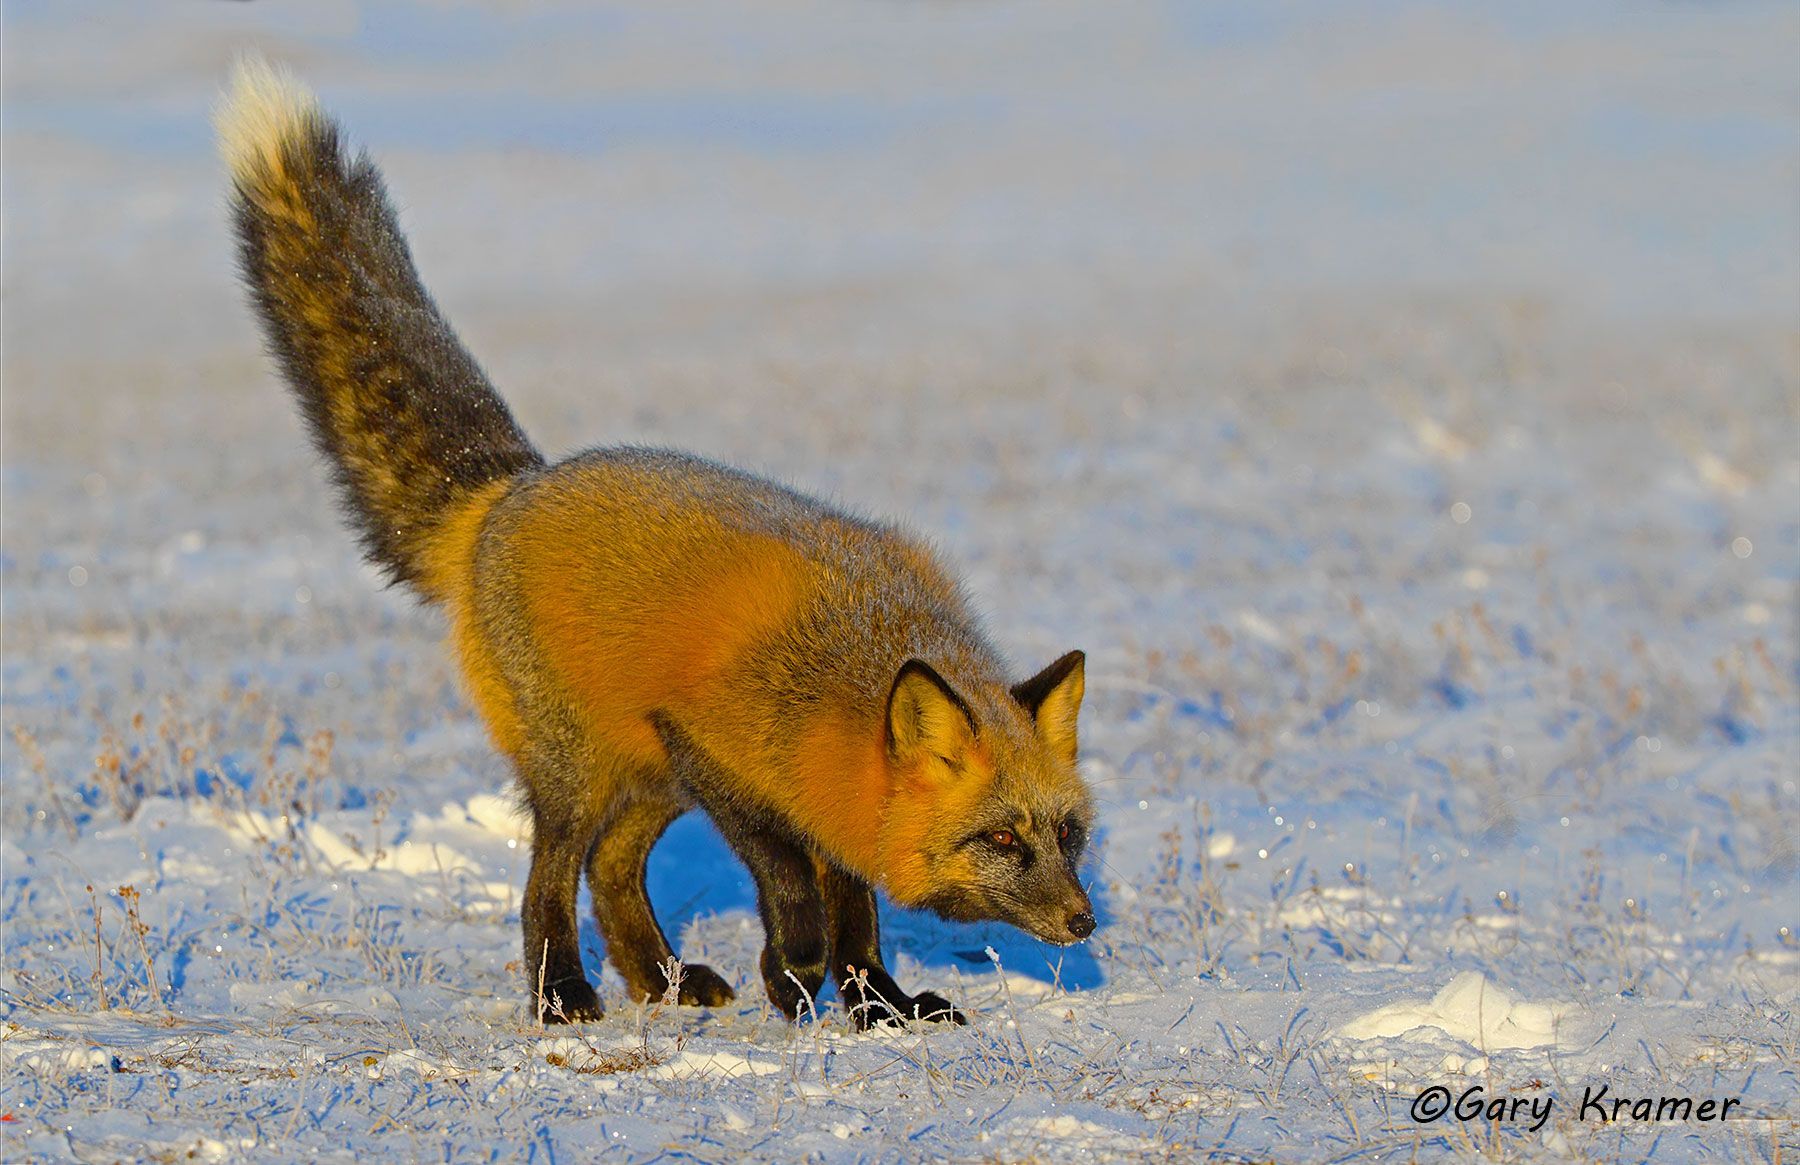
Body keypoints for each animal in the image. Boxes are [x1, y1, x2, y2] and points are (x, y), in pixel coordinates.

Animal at [217, 58, 1096, 1028]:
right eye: (1002, 835)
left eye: (1067, 831)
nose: (1085, 920)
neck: (839, 673)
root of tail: (513, 488)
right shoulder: (714, 752)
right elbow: (793, 884)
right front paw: (794, 972)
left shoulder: (820, 798)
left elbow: (858, 914)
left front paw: (880, 1006)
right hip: (586, 774)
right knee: (552, 878)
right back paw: (563, 992)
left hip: (645, 779)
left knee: (611, 869)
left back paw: (657, 979)